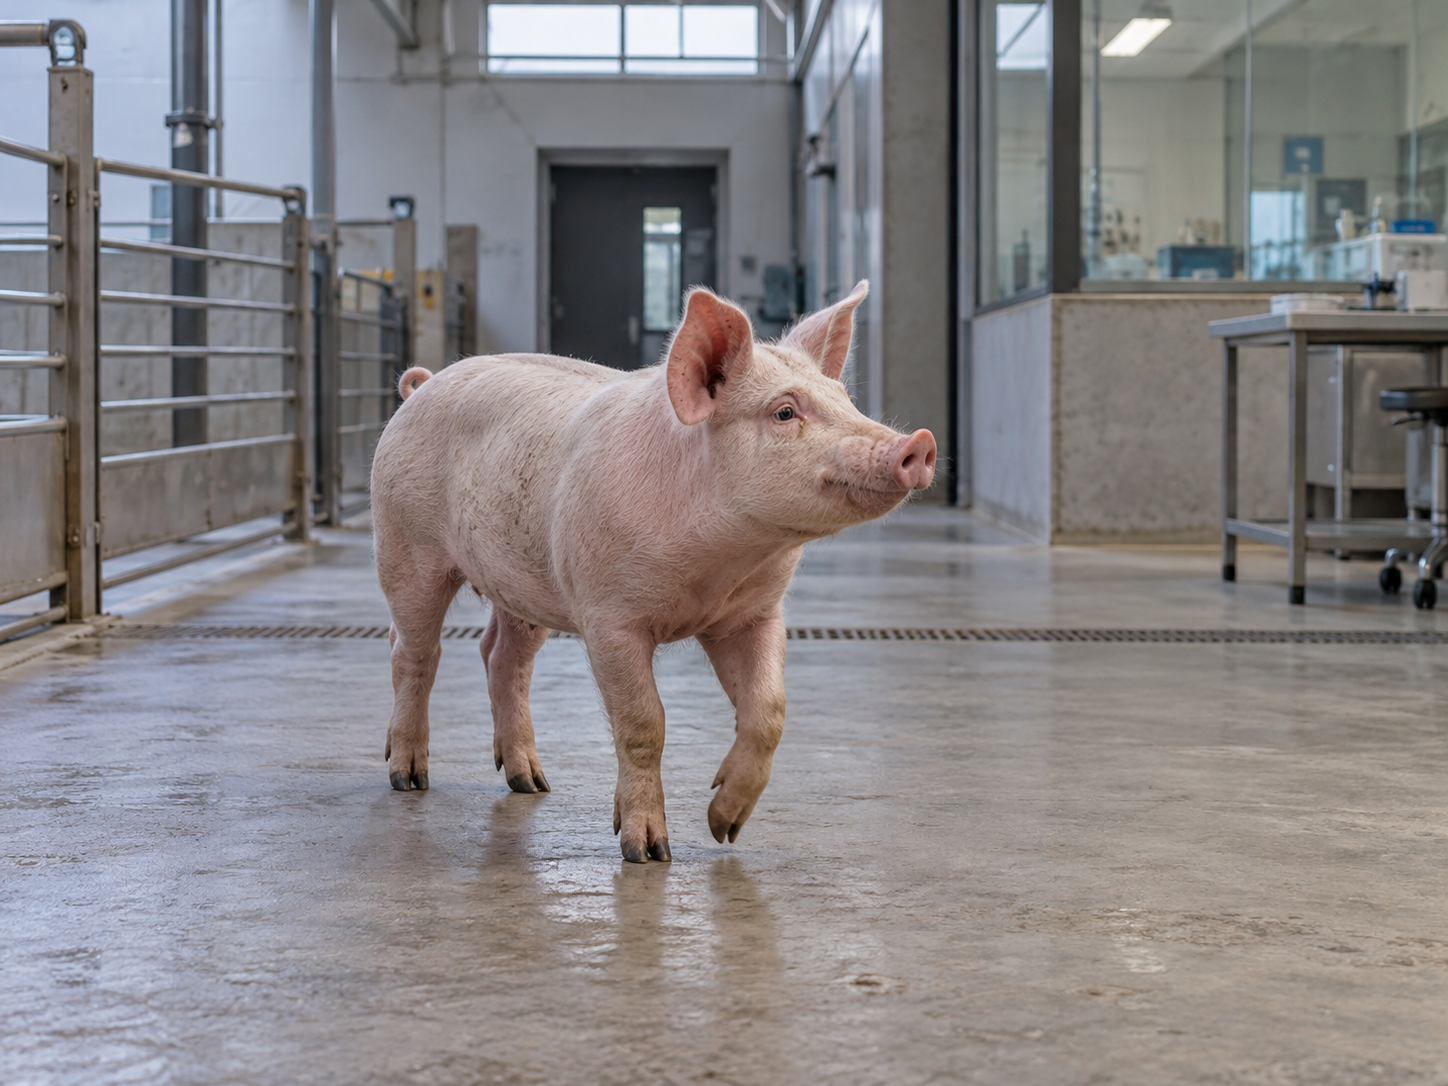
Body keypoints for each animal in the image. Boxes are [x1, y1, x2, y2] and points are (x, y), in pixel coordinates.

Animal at [370, 280, 935, 862]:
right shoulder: (608, 615)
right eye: (783, 412)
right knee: (413, 651)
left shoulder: (754, 613)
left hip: (525, 581)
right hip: (404, 542)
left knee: (501, 656)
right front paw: (648, 852)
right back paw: (409, 778)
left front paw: (723, 828)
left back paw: (533, 783)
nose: (918, 442)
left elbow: (769, 710)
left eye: (844, 399)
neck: (718, 567)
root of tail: (423, 386)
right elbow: (644, 722)